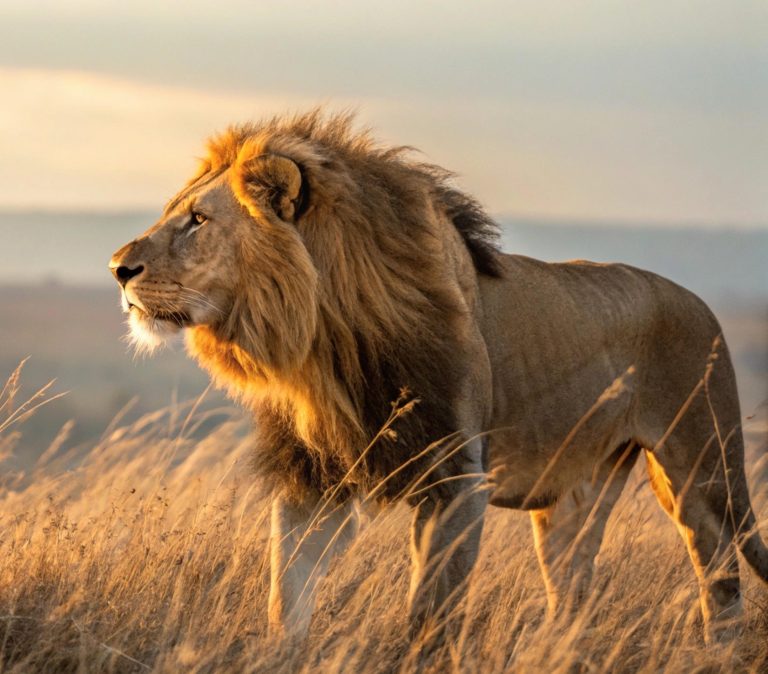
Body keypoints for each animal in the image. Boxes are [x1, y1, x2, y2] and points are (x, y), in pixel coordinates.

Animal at [110, 110, 768, 643]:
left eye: (198, 220)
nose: (117, 268)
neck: (324, 343)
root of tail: (699, 302)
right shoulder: (312, 480)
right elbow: (286, 594)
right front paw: (281, 652)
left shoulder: (456, 479)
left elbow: (429, 615)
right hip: (573, 495)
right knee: (573, 596)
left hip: (704, 472)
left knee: (722, 583)